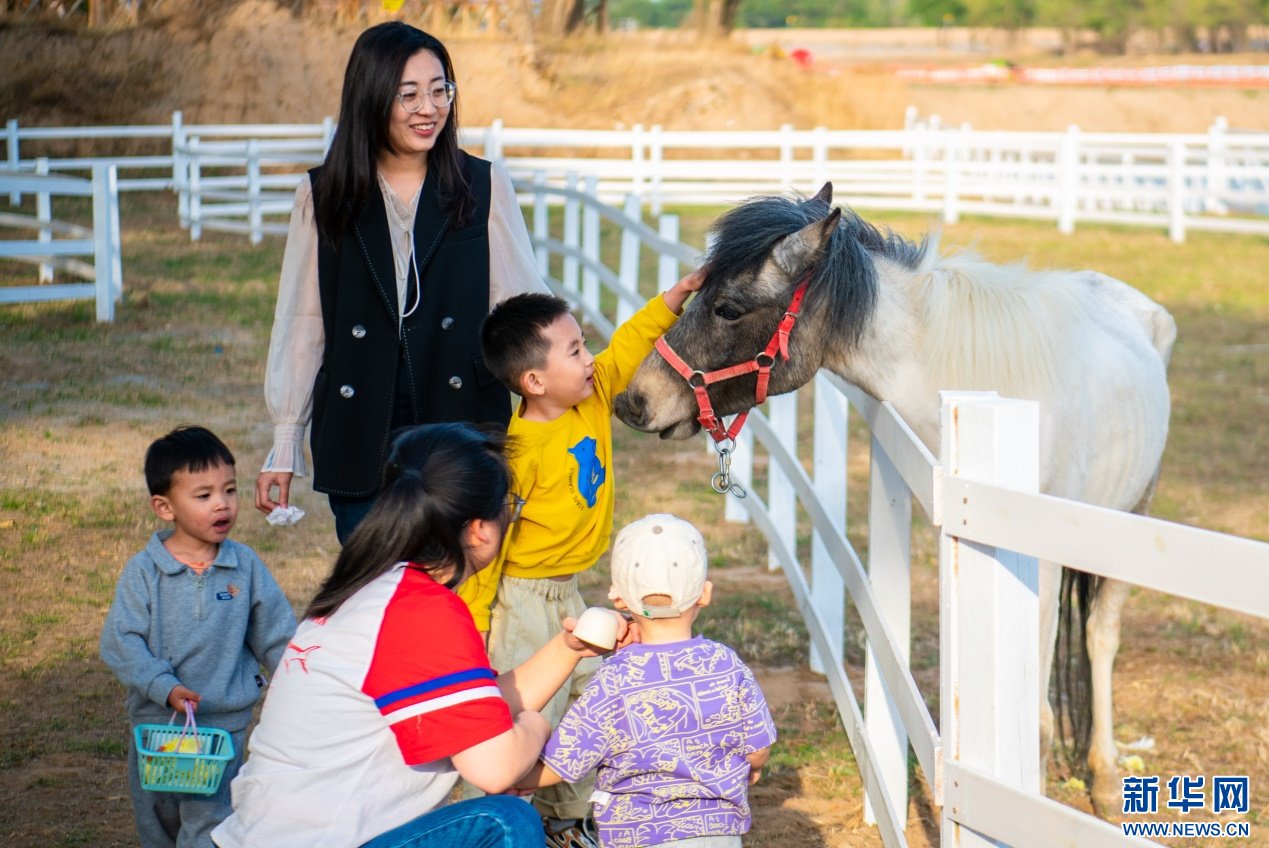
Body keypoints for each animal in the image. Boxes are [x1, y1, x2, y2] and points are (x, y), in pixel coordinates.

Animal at [613, 183, 1176, 816]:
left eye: (728, 307)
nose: (634, 400)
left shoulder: (1046, 564)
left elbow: (1037, 719)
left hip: (1130, 513)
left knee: (1101, 636)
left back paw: (1105, 778)